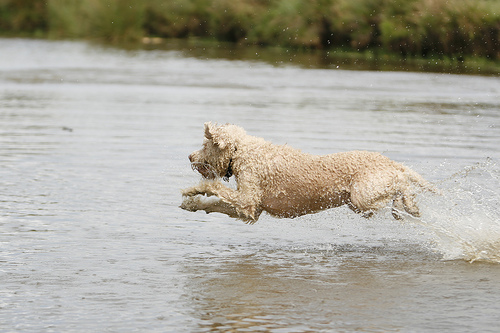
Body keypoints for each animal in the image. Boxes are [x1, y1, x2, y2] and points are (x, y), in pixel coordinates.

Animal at [180, 122, 438, 223]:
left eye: (205, 144)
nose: (190, 156)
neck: (242, 151)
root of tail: (393, 163)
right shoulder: (250, 210)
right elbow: (214, 205)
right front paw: (192, 204)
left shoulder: (247, 199)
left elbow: (212, 186)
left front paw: (191, 190)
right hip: (362, 201)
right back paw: (409, 208)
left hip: (363, 196)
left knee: (402, 186)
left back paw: (408, 205)